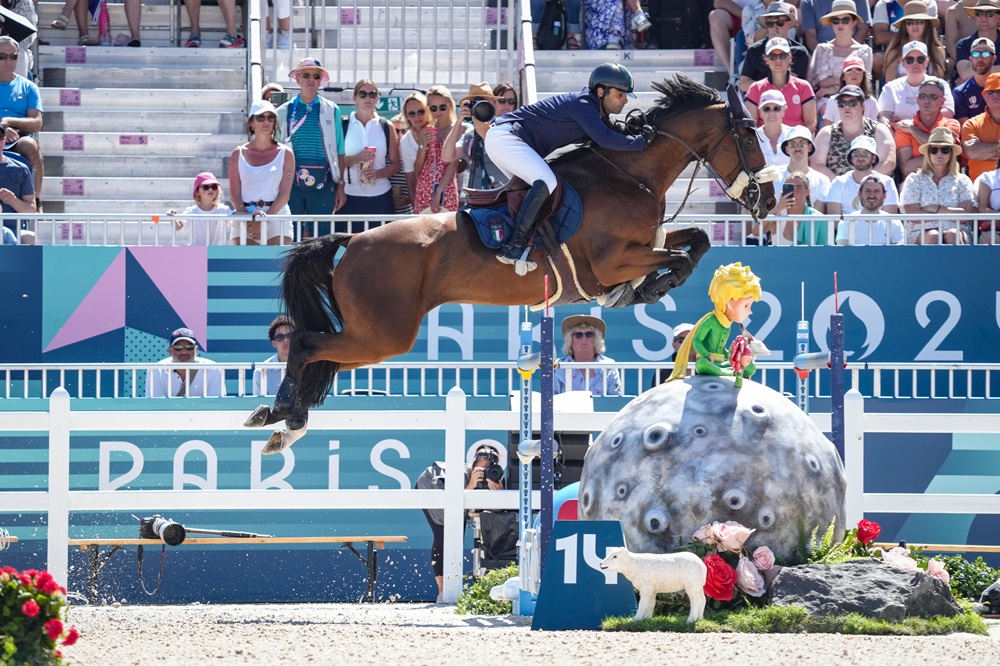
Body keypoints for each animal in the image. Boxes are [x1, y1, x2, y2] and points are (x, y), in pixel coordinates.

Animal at [246, 78, 776, 452]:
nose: (769, 201)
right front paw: (648, 288)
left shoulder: (648, 243)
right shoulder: (612, 260)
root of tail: (352, 240)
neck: (631, 174)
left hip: (375, 337)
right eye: (750, 136)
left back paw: (284, 423)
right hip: (382, 334)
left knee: (321, 354)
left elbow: (697, 242)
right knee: (307, 342)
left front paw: (648, 287)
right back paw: (283, 414)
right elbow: (678, 258)